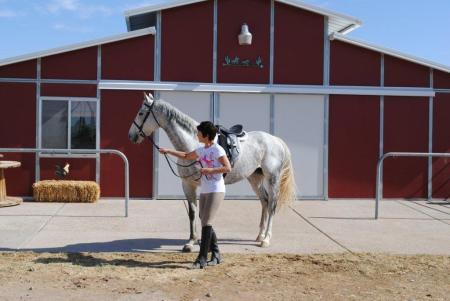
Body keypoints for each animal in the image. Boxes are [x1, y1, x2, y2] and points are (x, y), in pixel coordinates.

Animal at [127, 93, 296, 251]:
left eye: (141, 113)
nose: (131, 135)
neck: (194, 146)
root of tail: (275, 140)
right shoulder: (187, 185)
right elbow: (193, 213)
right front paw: (190, 242)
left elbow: (204, 213)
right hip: (254, 178)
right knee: (264, 201)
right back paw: (260, 235)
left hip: (272, 179)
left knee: (272, 204)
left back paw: (266, 239)